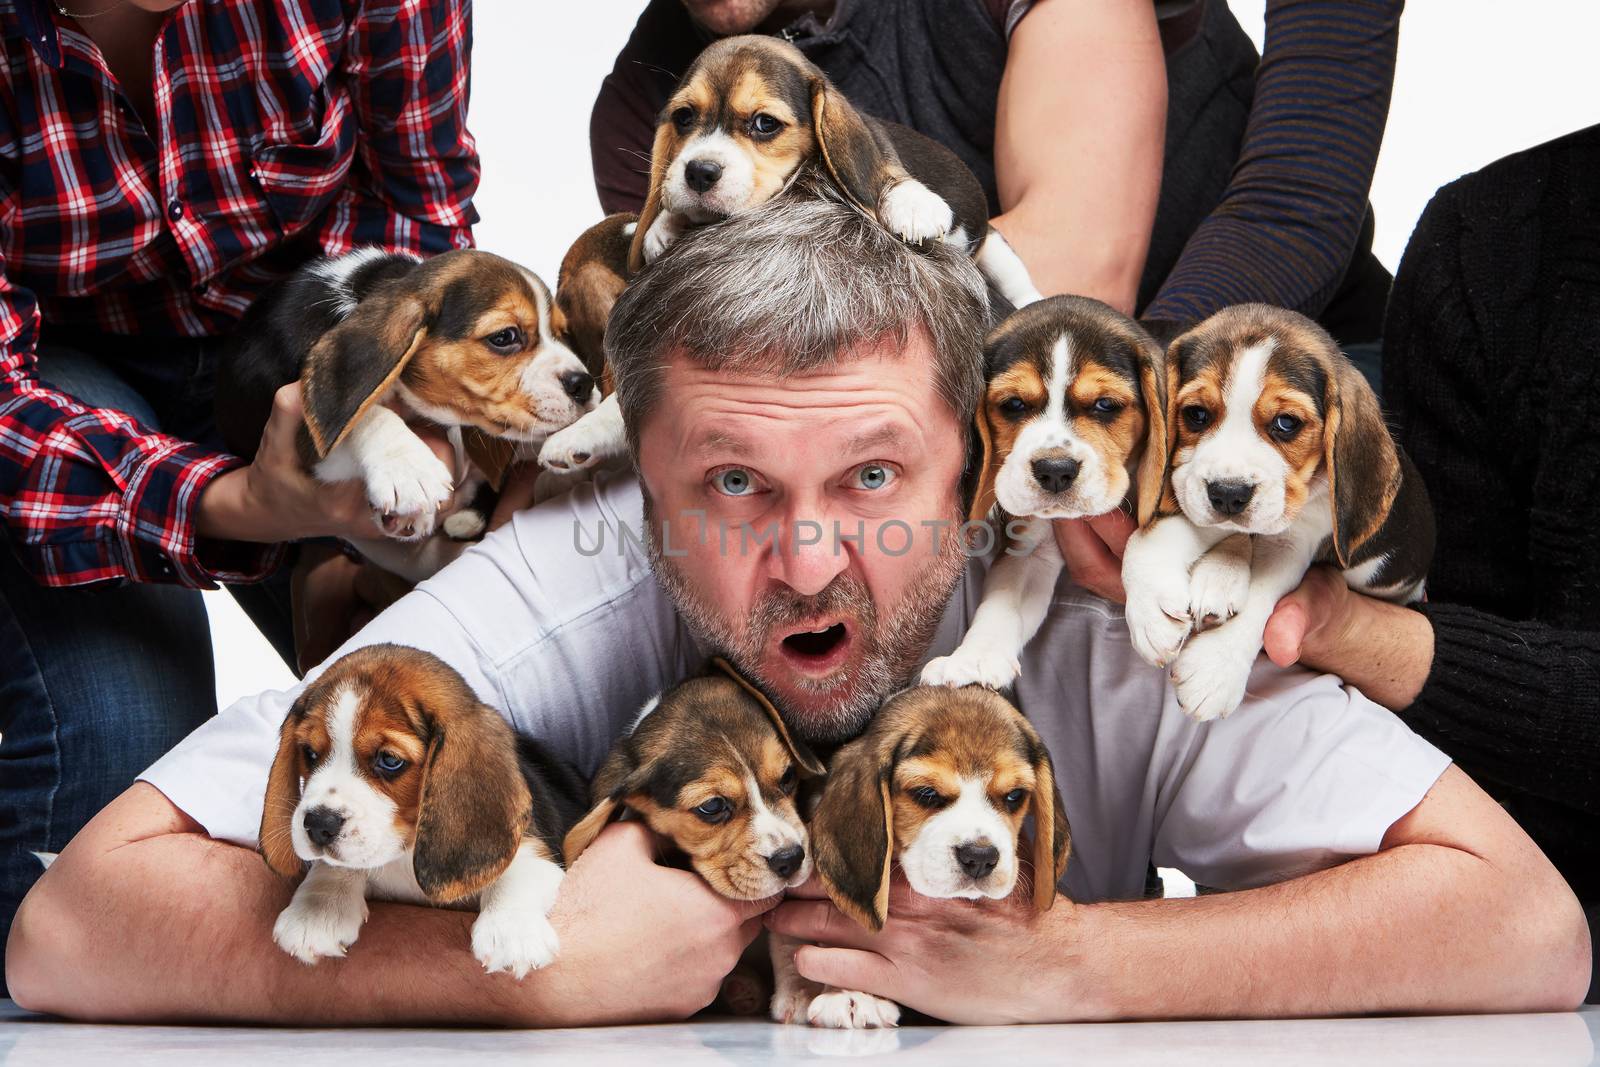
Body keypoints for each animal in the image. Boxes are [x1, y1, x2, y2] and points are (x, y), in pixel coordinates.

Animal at [219, 246, 601, 579]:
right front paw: (407, 467)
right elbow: (366, 414)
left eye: (562, 333)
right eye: (505, 336)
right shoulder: (300, 437)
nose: (583, 384)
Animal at [262, 643, 588, 985]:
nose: (318, 824)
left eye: (389, 760)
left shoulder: (534, 849)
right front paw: (318, 909)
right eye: (309, 753)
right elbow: (339, 866)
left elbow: (517, 873)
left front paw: (511, 930)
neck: (405, 851)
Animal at [624, 35, 1036, 299]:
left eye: (765, 123)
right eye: (683, 117)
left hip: (997, 251)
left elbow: (887, 174)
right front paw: (662, 226)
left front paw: (912, 204)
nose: (699, 172)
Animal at [1126, 303, 1440, 723]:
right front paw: (1151, 608)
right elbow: (1149, 540)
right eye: (1196, 415)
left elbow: (1262, 596)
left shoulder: (1298, 539)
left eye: (1286, 423)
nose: (1228, 495)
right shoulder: (1190, 489)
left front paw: (1215, 668)